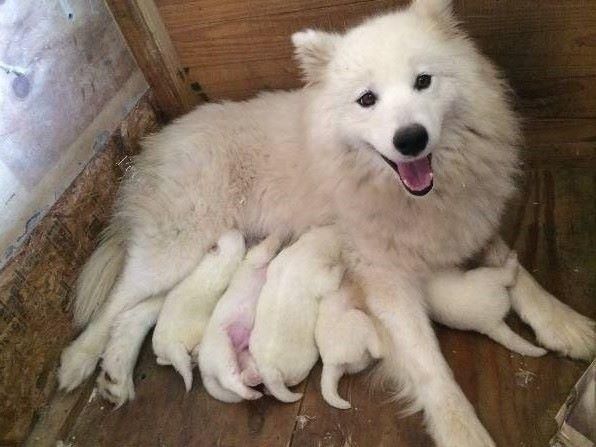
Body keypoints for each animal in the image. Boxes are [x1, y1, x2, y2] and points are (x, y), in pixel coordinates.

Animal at [155, 231, 248, 392]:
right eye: (240, 239)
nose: (243, 234)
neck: (218, 261)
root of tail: (171, 345)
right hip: (199, 330)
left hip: (160, 350)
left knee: (161, 360)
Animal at [198, 233, 284, 404]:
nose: (245, 235)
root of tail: (204, 370)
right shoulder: (257, 257)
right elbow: (269, 244)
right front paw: (277, 235)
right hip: (224, 353)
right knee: (230, 381)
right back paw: (251, 393)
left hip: (244, 355)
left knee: (243, 375)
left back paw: (254, 379)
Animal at [249, 226, 344, 404]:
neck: (308, 246)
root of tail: (269, 370)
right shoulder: (321, 277)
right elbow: (333, 278)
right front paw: (342, 266)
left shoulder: (279, 260)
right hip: (305, 362)